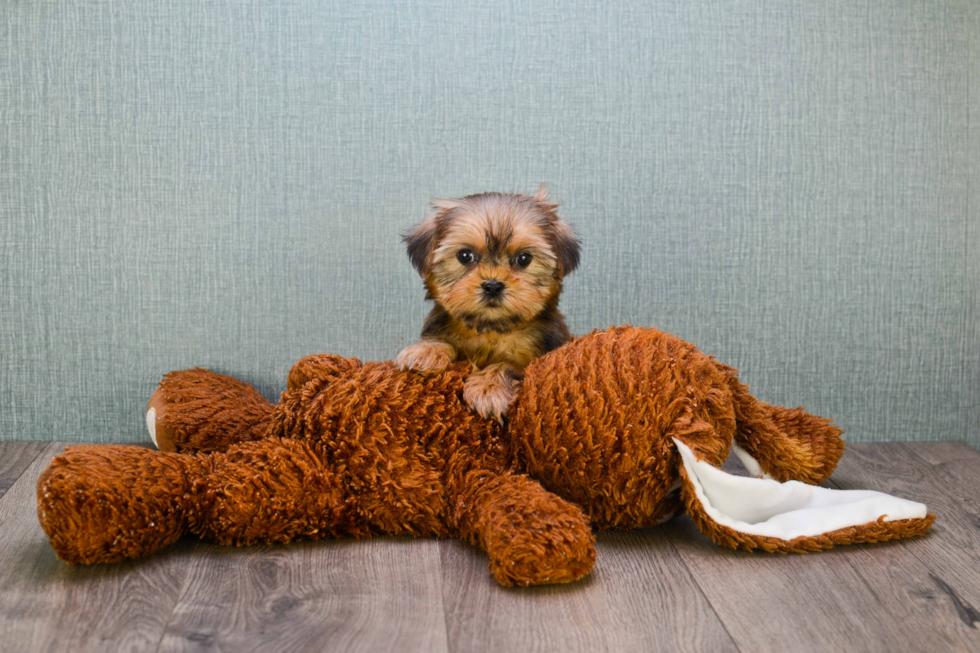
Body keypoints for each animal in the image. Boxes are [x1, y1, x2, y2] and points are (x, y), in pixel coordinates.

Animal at [394, 186, 580, 420]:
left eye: (524, 259)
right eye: (465, 256)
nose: (493, 285)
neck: (491, 329)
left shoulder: (536, 357)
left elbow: (507, 364)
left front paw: (488, 388)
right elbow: (445, 341)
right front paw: (426, 351)